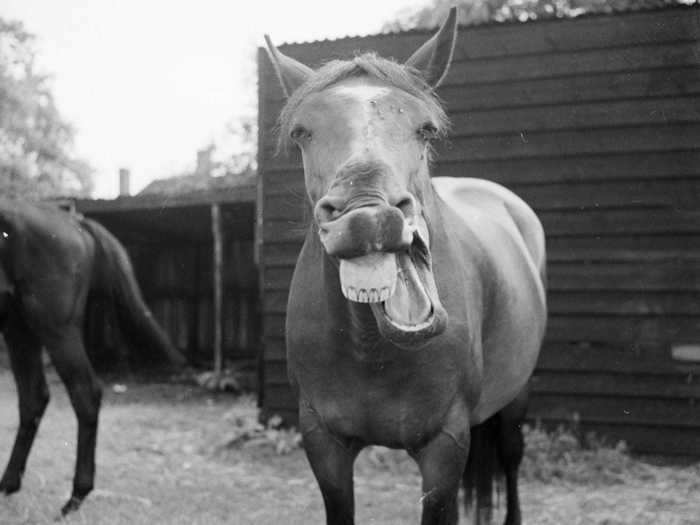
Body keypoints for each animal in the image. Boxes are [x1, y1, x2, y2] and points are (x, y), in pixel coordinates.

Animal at [0, 199, 186, 512]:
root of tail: (75, 223)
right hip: (19, 328)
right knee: (33, 398)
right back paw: (9, 484)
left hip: (54, 328)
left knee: (84, 394)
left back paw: (76, 496)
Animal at [266, 6, 548, 520]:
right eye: (301, 132)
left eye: (426, 129)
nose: (367, 215)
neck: (370, 346)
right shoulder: (323, 443)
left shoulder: (444, 447)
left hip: (516, 398)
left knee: (512, 461)